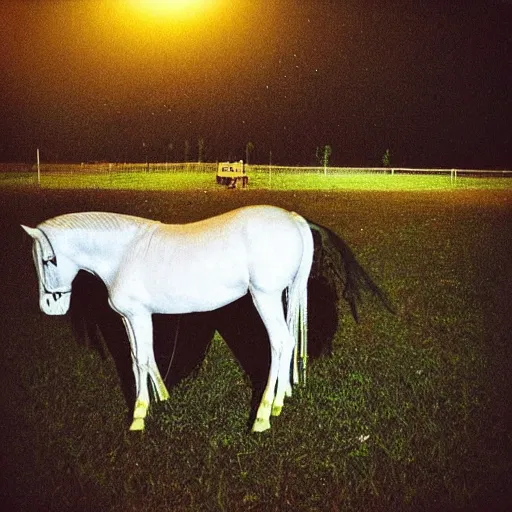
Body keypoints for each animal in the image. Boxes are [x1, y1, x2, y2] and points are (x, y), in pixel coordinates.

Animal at [23, 205, 312, 432]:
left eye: (48, 260)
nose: (48, 306)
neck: (123, 253)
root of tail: (292, 217)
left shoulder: (139, 316)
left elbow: (142, 360)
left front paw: (139, 415)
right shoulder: (129, 318)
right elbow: (137, 358)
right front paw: (160, 397)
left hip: (265, 297)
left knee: (280, 344)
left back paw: (263, 415)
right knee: (288, 343)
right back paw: (280, 401)